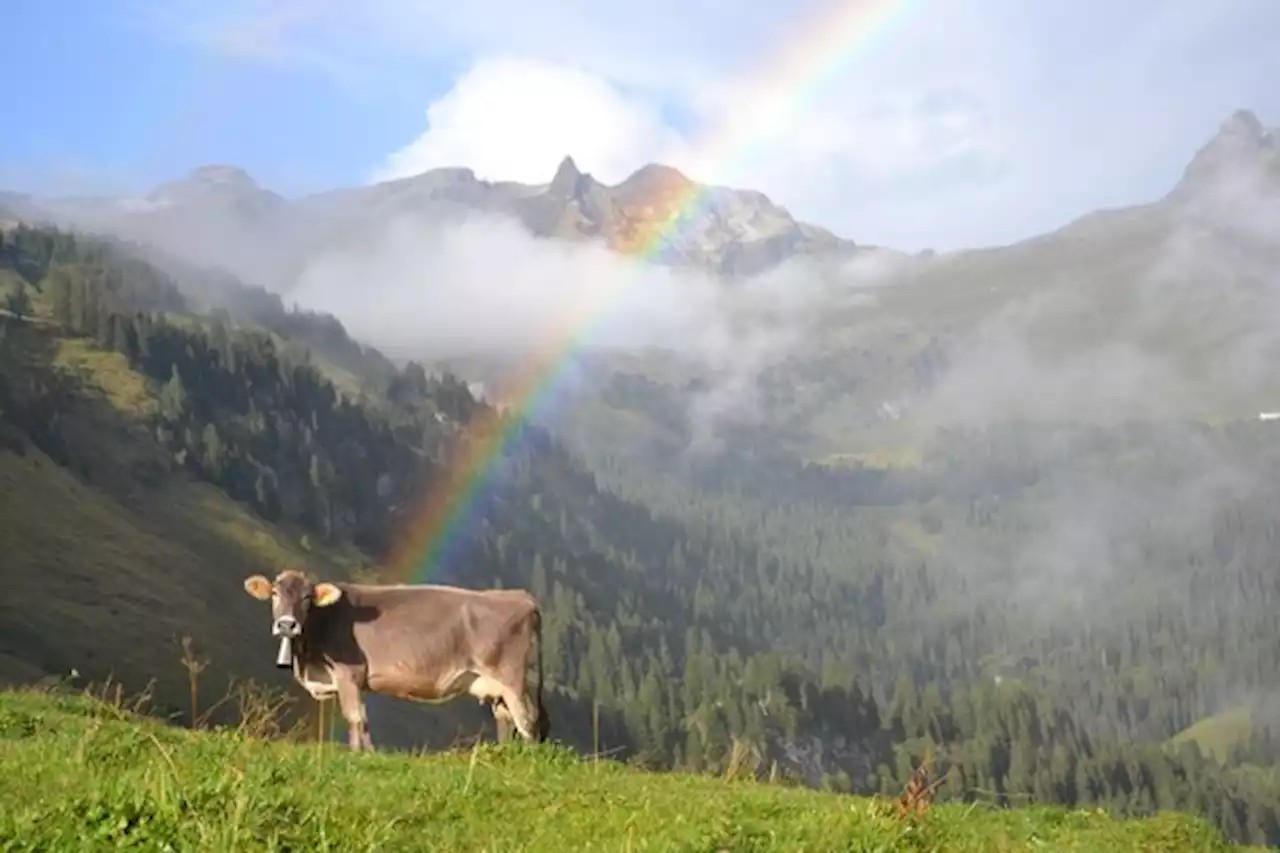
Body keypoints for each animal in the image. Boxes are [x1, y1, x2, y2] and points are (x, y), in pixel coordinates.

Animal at [241, 568, 547, 747]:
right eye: (275, 593)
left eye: (307, 597)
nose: (287, 625)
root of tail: (521, 597)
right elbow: (361, 720)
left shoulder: (348, 674)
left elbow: (355, 717)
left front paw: (358, 755)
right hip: (495, 685)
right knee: (507, 719)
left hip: (512, 678)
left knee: (528, 720)